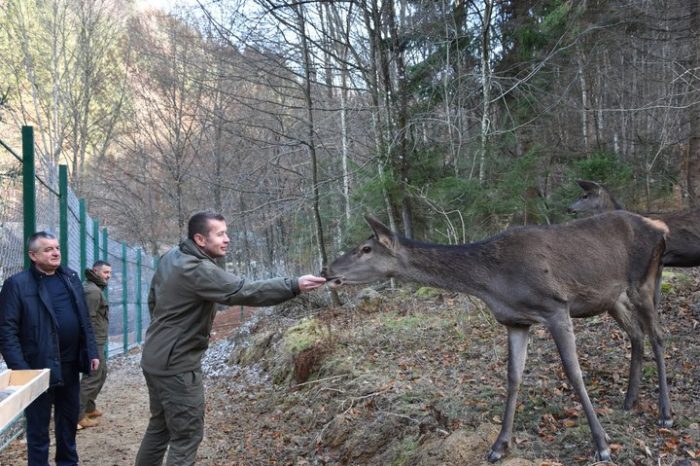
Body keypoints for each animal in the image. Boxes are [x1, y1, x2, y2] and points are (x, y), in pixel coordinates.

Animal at [322, 212, 672, 462]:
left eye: (365, 249)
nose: (327, 269)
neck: (492, 282)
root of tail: (661, 227)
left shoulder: (556, 307)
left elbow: (574, 373)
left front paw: (602, 445)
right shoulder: (515, 321)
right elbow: (513, 376)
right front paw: (499, 446)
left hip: (643, 281)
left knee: (657, 335)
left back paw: (665, 413)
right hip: (612, 297)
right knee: (637, 334)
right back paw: (629, 400)